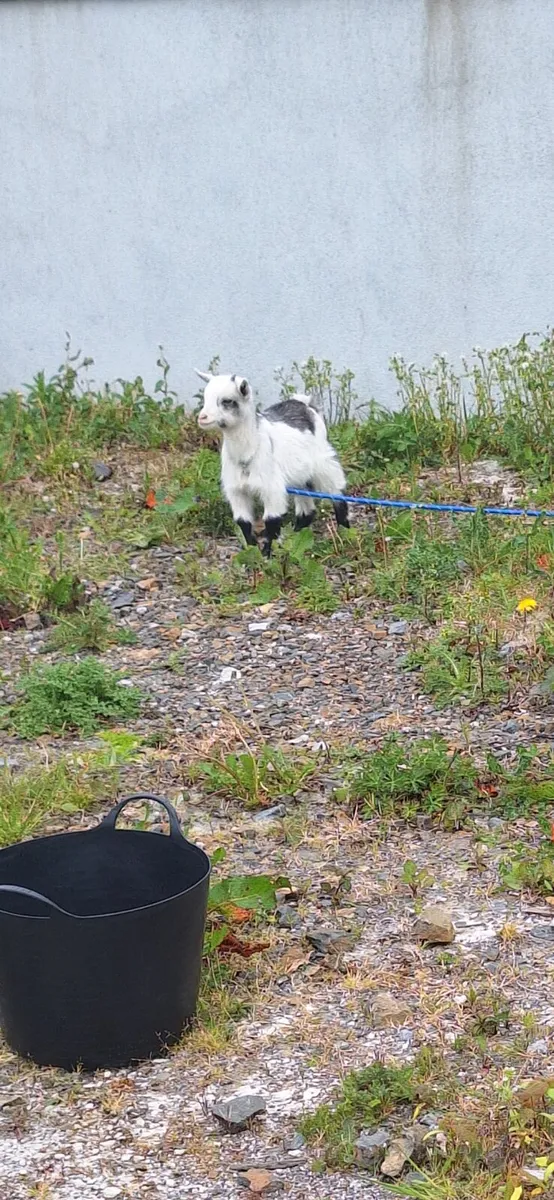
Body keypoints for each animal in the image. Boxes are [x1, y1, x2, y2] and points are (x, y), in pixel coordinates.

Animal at [195, 370, 349, 555]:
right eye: (205, 397)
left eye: (227, 401)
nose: (202, 417)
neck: (246, 456)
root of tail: (304, 403)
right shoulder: (236, 490)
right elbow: (243, 521)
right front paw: (252, 550)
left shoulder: (271, 487)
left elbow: (271, 520)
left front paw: (268, 554)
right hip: (299, 474)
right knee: (307, 509)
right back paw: (296, 535)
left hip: (323, 461)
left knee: (336, 491)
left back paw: (344, 531)